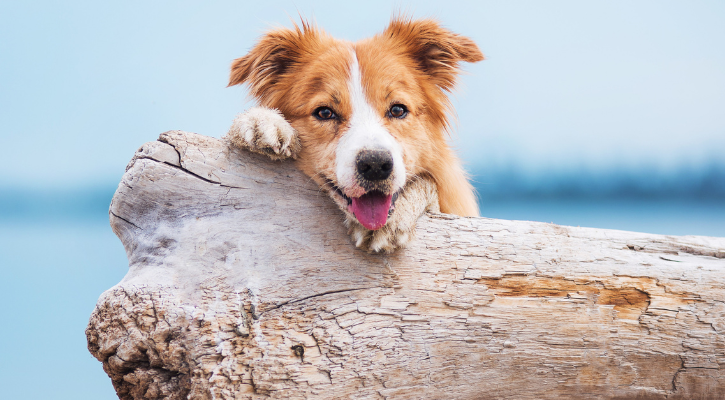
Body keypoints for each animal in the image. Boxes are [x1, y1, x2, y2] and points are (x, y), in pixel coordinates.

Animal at [226, 17, 484, 253]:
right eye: (325, 112)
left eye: (398, 110)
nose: (376, 165)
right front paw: (263, 121)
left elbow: (429, 186)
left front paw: (396, 218)